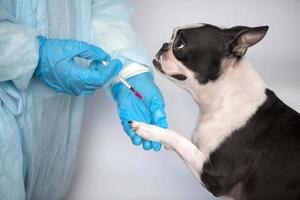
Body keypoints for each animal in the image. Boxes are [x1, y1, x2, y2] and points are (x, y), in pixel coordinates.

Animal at [129, 23, 300, 200]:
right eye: (171, 37)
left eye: (179, 45)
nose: (164, 45)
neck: (224, 96)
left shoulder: (216, 176)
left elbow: (180, 140)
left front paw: (151, 130)